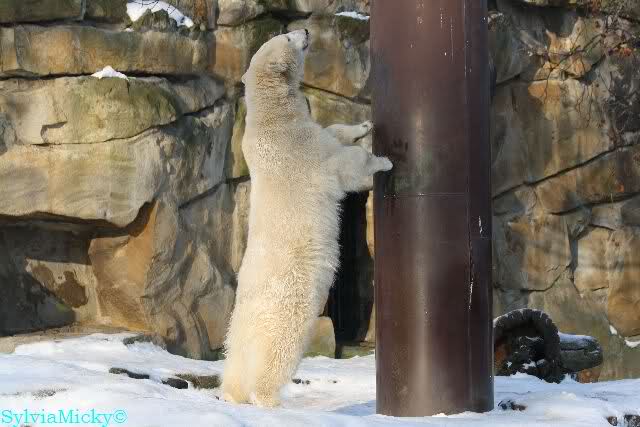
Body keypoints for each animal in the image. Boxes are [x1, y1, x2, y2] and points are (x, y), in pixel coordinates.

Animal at [221, 28, 392, 408]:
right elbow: (343, 166)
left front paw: (363, 124)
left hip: (242, 329)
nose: (306, 30)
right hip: (286, 305)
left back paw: (231, 390)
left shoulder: (305, 132)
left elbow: (333, 132)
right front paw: (382, 161)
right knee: (279, 354)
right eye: (285, 36)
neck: (272, 117)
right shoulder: (302, 150)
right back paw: (268, 399)